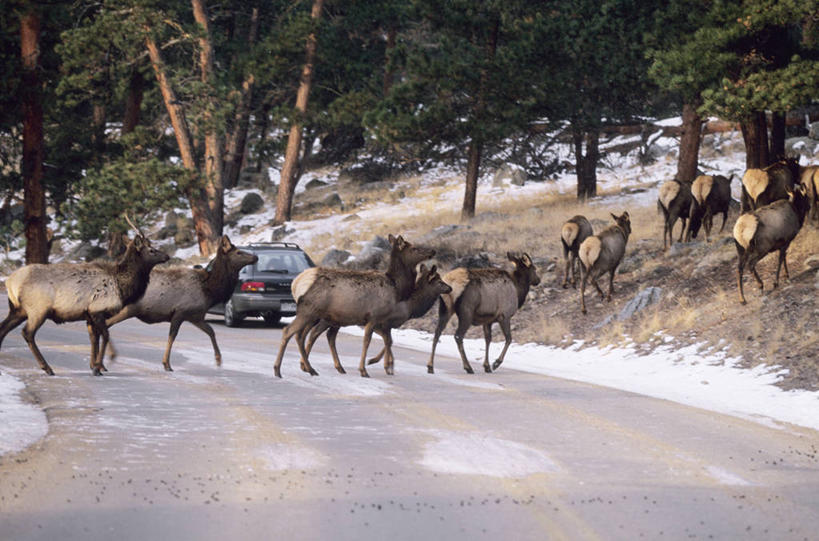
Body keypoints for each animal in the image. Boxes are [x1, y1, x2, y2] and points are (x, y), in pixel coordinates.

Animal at [0, 232, 167, 376]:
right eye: (151, 250)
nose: (167, 256)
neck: (122, 287)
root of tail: (10, 283)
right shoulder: (97, 310)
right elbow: (105, 336)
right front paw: (99, 367)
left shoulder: (88, 315)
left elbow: (94, 338)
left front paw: (94, 365)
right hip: (38, 309)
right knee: (27, 333)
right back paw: (47, 368)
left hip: (18, 310)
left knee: (3, 328)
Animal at [103, 236, 256, 372]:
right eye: (238, 252)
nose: (255, 257)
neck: (209, 291)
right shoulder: (180, 312)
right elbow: (172, 336)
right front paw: (166, 364)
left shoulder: (196, 316)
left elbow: (211, 331)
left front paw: (218, 360)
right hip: (127, 309)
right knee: (107, 324)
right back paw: (108, 358)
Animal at [276, 234, 436, 378]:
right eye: (414, 248)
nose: (432, 251)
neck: (396, 287)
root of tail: (296, 283)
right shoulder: (374, 317)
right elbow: (367, 341)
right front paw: (364, 370)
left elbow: (386, 340)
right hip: (309, 311)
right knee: (289, 331)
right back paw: (280, 370)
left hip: (317, 316)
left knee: (301, 335)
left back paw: (310, 369)